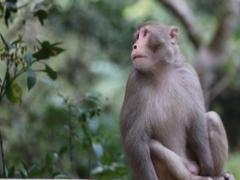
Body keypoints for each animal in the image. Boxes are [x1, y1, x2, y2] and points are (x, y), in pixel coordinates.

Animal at [119, 21, 233, 180]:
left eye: (145, 34)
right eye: (137, 37)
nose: (134, 46)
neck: (162, 72)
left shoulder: (188, 73)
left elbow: (196, 121)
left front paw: (208, 167)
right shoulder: (134, 84)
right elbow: (134, 139)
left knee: (212, 118)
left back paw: (217, 174)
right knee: (152, 146)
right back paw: (192, 177)